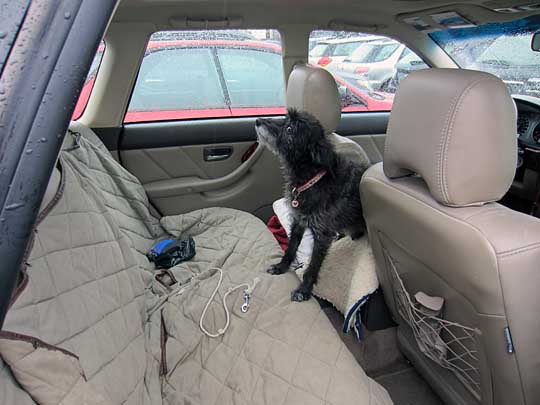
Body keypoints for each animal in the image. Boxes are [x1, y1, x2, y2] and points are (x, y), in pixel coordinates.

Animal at [254, 107, 368, 300]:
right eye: (285, 118)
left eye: (290, 128)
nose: (257, 121)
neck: (311, 179)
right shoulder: (298, 221)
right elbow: (291, 248)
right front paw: (281, 267)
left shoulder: (322, 234)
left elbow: (313, 266)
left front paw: (304, 290)